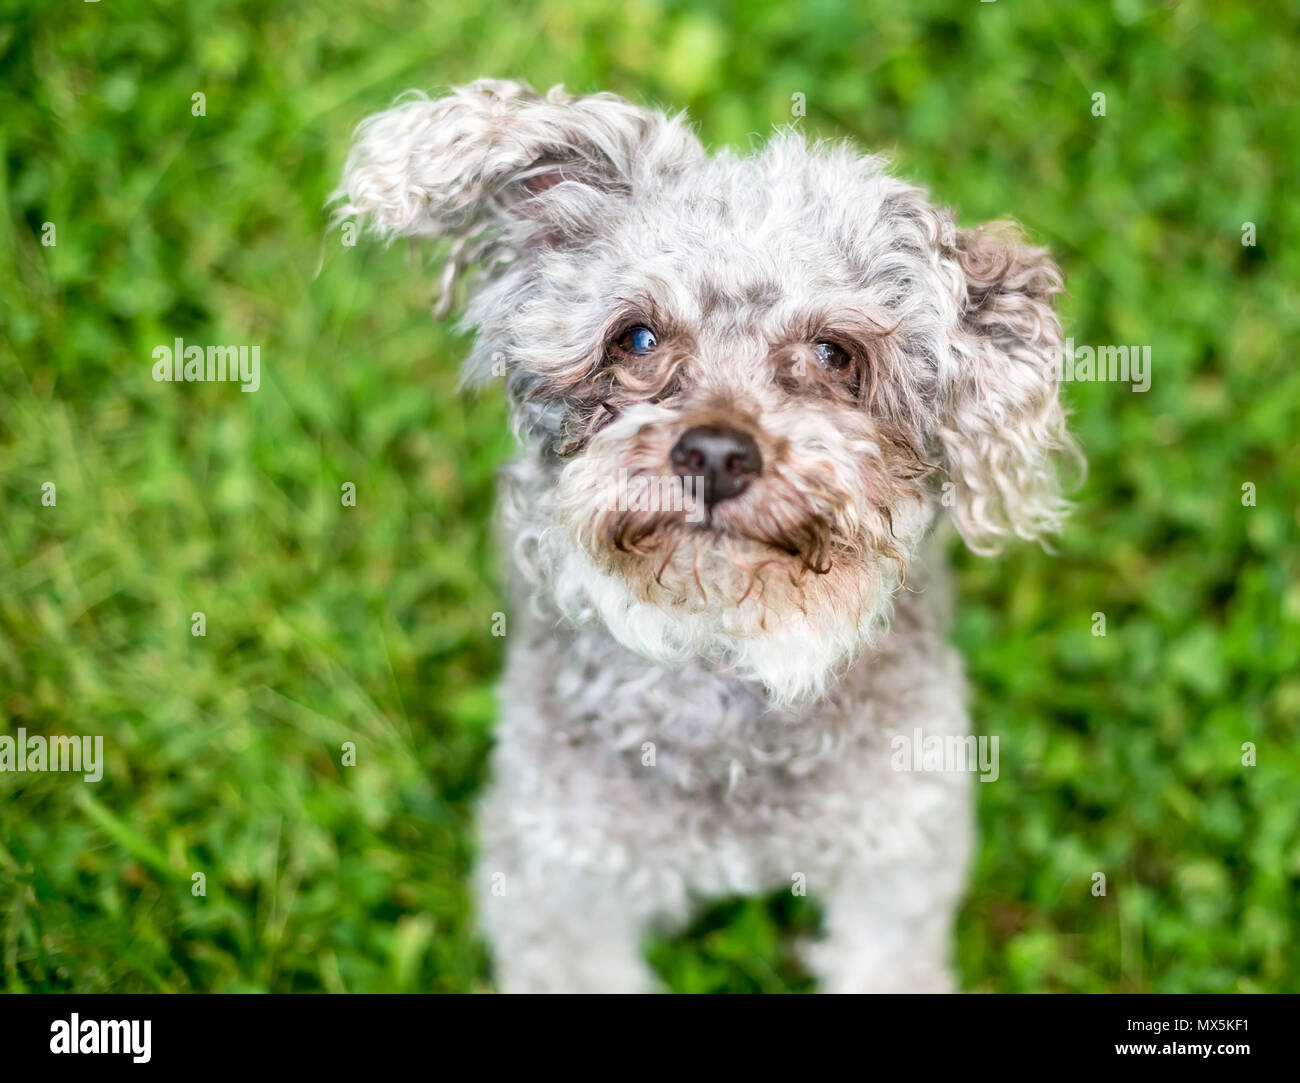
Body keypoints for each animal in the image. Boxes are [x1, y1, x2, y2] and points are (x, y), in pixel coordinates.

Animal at [338, 80, 1076, 993]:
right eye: (637, 337)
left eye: (834, 352)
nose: (718, 453)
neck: (724, 662)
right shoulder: (557, 883)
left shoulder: (900, 858)